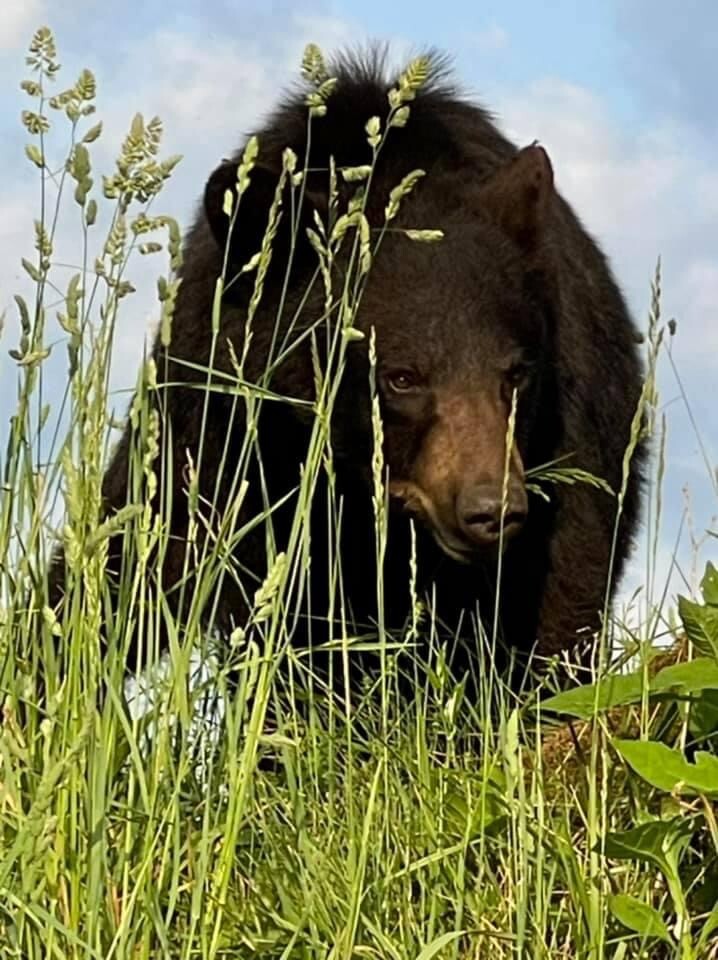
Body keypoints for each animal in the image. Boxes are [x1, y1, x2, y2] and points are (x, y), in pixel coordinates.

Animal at [48, 48, 646, 697]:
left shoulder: (575, 445)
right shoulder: (212, 427)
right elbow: (136, 551)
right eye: (402, 376)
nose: (491, 509)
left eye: (515, 372)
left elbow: (559, 601)